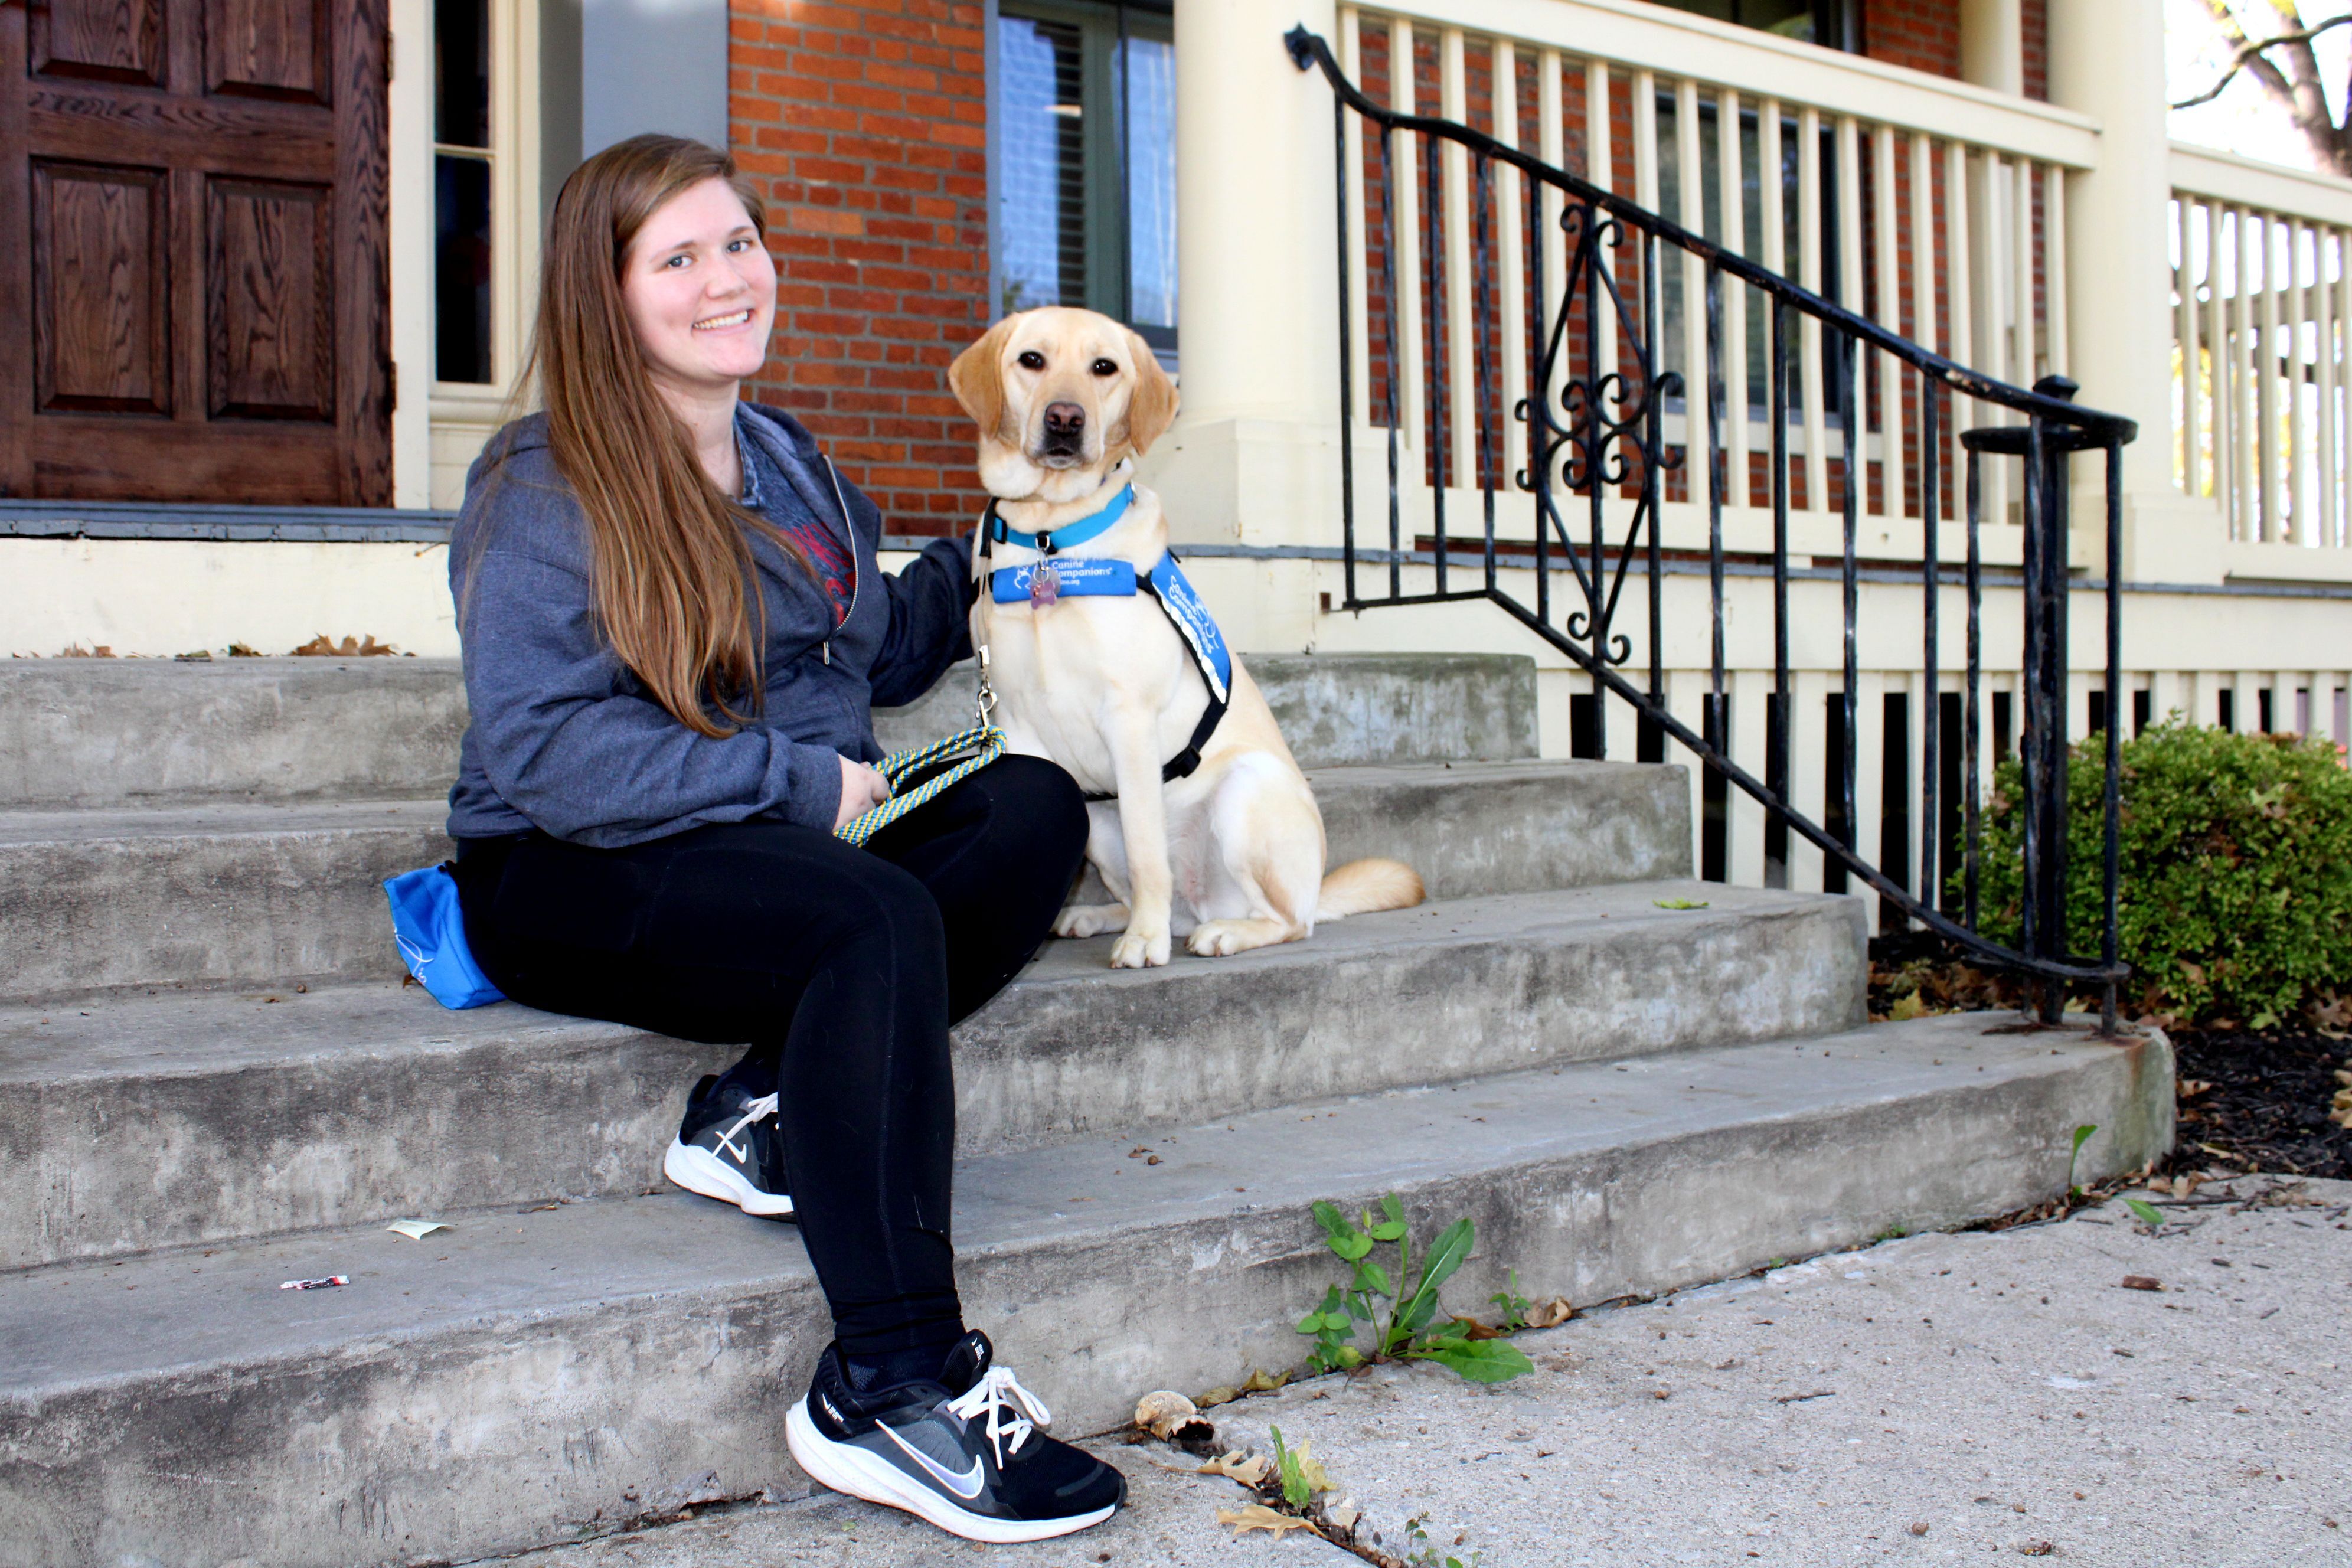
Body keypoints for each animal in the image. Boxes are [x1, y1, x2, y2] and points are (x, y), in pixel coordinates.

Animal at [950, 305, 1420, 968]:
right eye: (1032, 360)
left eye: (1104, 367)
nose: (1065, 419)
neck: (1051, 535)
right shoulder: (1016, 725)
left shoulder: (1128, 717)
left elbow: (1150, 856)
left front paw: (1143, 943)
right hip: (1098, 825)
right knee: (1169, 898)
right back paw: (1098, 916)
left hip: (1245, 792)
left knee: (1284, 920)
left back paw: (1222, 931)